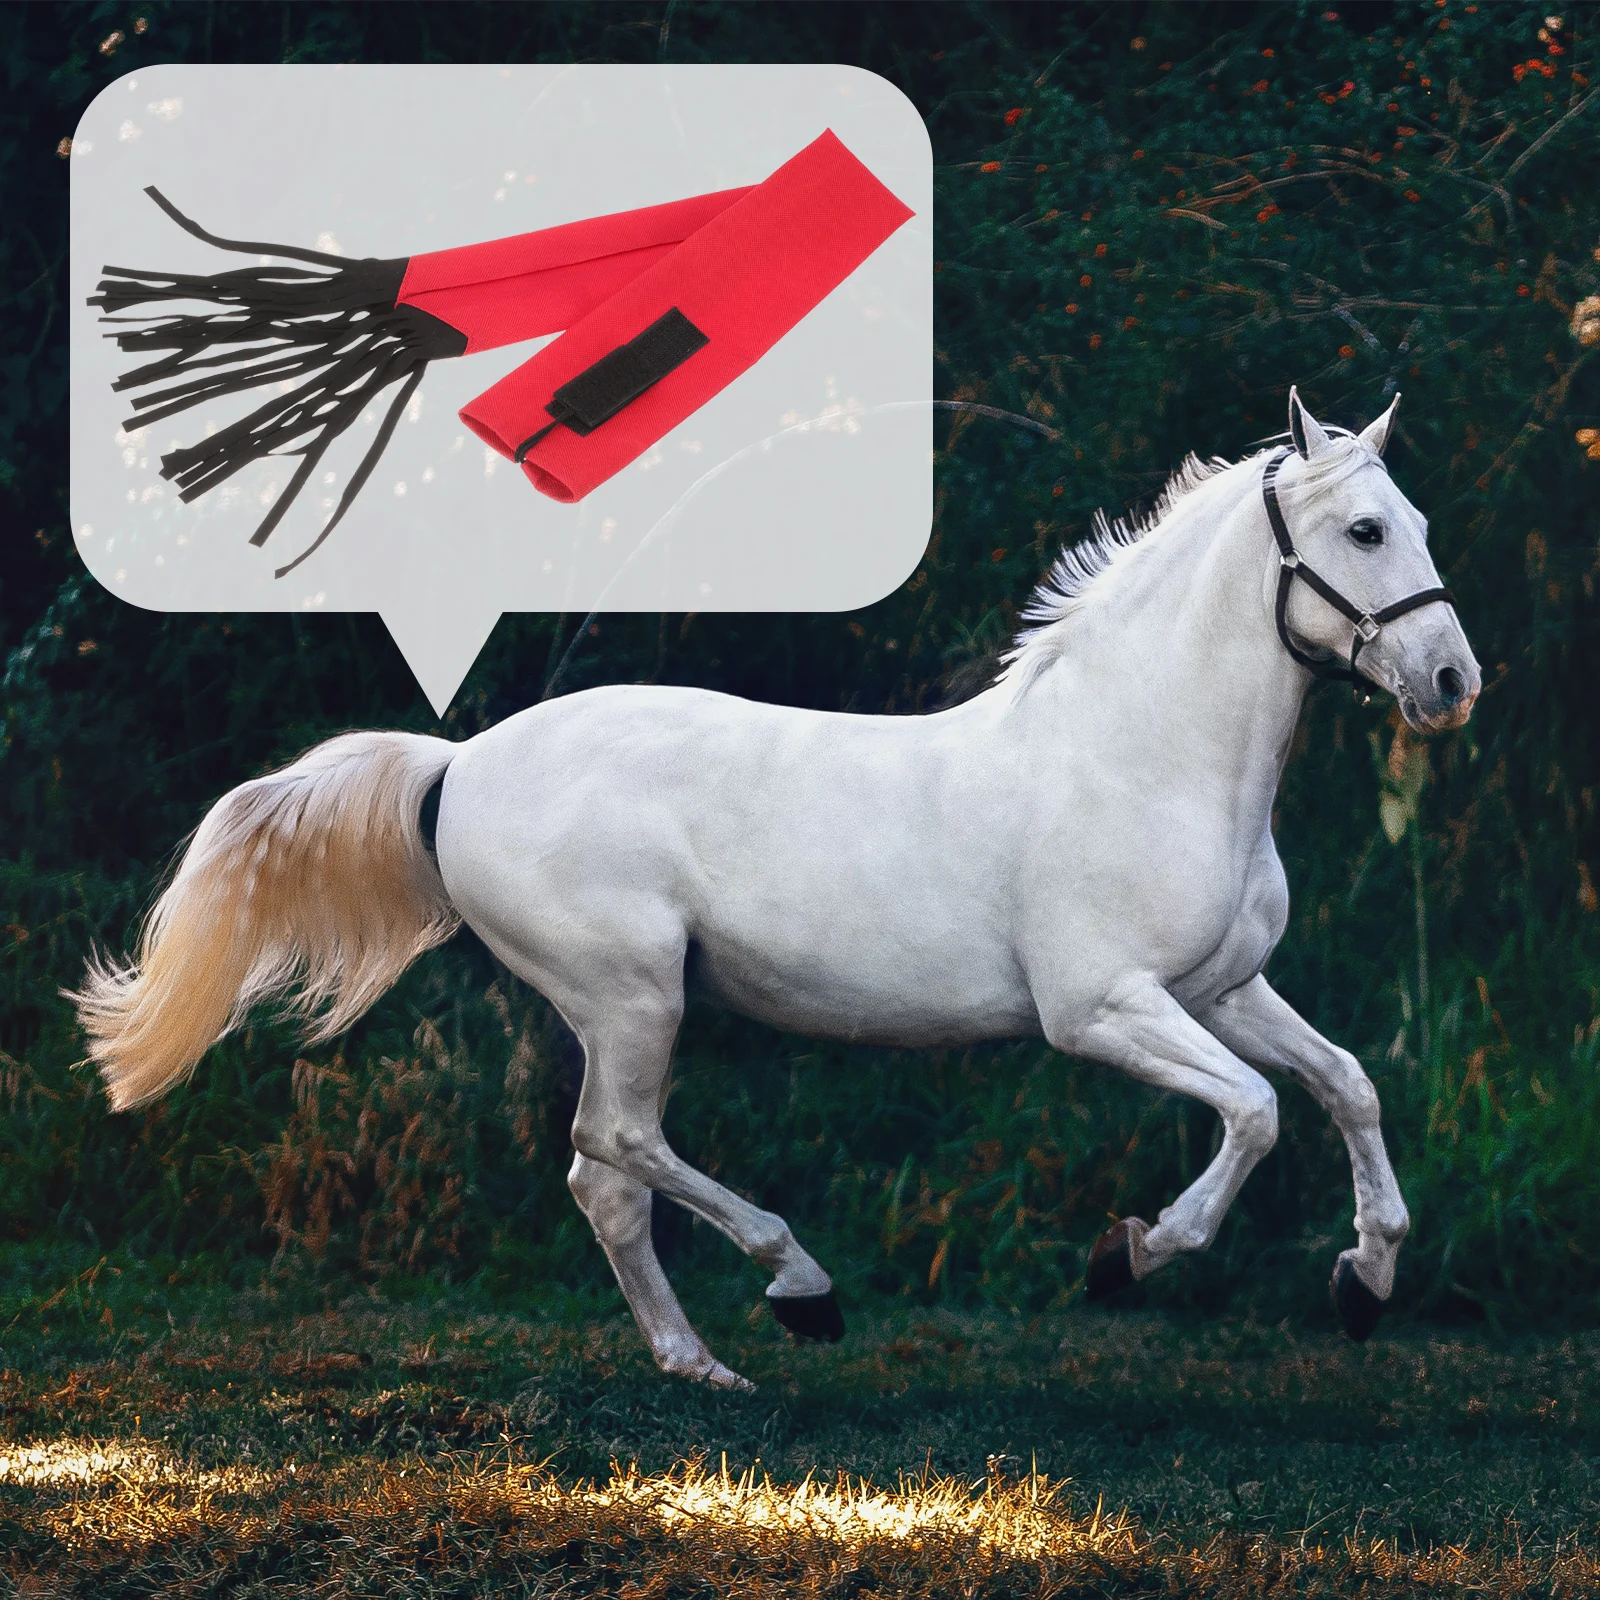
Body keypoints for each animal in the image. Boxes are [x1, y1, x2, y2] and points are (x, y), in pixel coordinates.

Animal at [73, 388, 1479, 1391]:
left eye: (1418, 524)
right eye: (1364, 530)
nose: (1452, 681)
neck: (1143, 752)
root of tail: (459, 763)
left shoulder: (1224, 987)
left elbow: (1344, 1083)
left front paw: (1364, 1279)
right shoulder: (1103, 1009)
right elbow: (1254, 1113)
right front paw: (1129, 1255)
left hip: (625, 1007)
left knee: (602, 1179)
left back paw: (702, 1363)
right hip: (632, 994)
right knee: (617, 1147)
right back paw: (798, 1288)